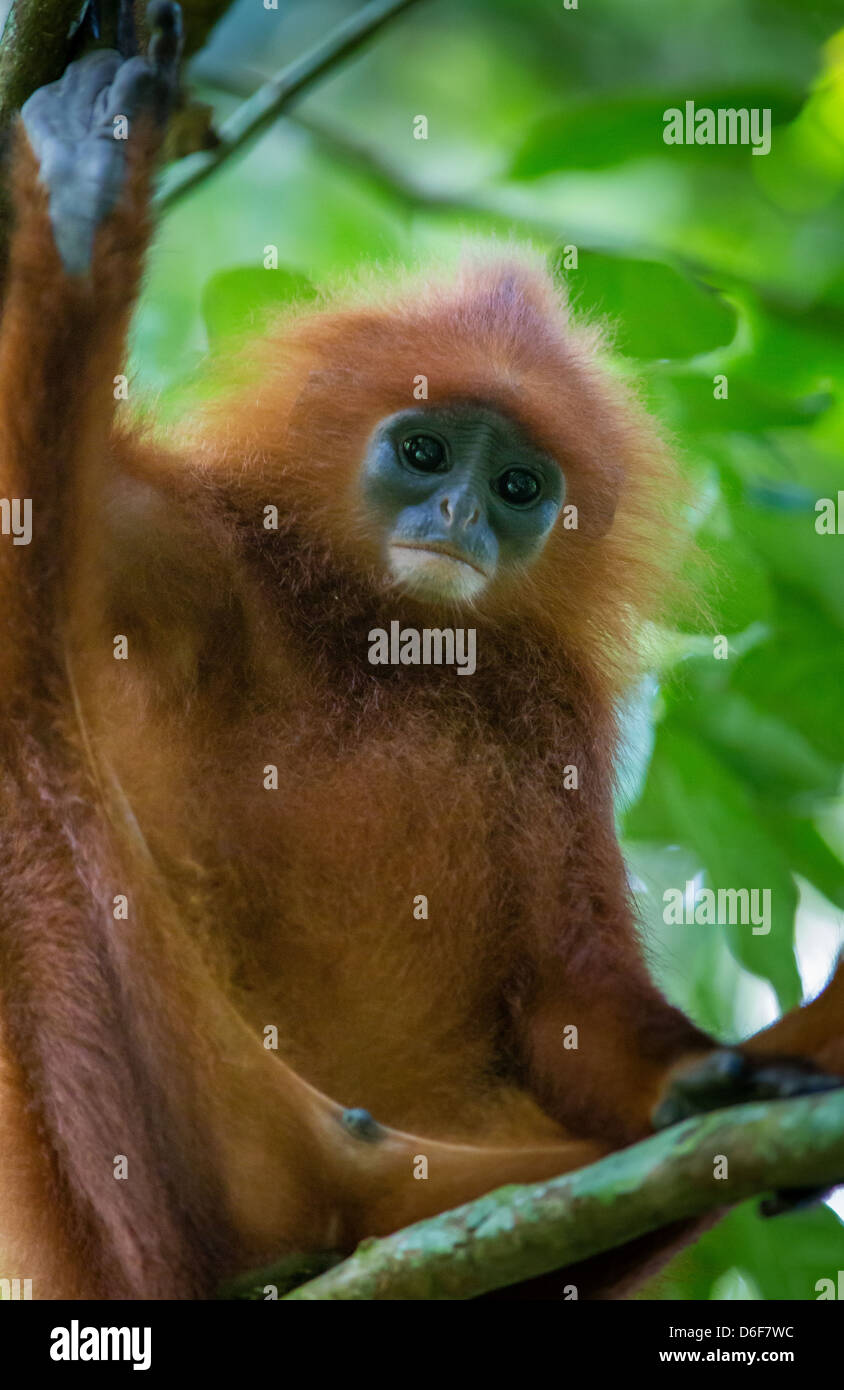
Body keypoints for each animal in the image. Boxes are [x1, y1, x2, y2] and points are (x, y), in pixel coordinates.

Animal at [0, 5, 839, 1295]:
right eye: (426, 452)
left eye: (516, 485)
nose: (457, 518)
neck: (385, 636)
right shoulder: (197, 551)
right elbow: (39, 512)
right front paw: (94, 185)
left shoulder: (558, 714)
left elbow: (565, 997)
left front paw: (694, 1077)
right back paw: (87, 203)